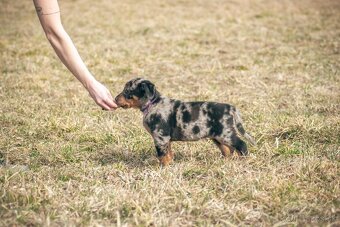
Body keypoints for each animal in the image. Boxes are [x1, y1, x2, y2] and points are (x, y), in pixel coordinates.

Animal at [115, 78, 255, 165]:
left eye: (127, 91)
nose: (115, 99)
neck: (152, 104)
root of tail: (231, 108)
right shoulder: (166, 139)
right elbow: (169, 154)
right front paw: (170, 165)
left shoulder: (160, 137)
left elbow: (162, 156)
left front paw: (163, 169)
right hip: (218, 136)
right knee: (228, 150)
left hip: (226, 134)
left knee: (241, 145)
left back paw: (243, 161)